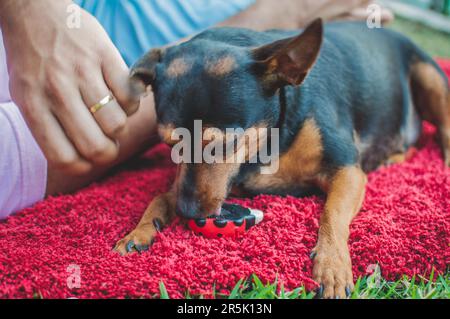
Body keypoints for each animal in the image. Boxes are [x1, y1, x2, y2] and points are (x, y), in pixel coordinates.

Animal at [115, 19, 450, 300]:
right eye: (169, 145)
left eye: (223, 144)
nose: (186, 212)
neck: (270, 142)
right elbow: (161, 196)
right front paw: (139, 230)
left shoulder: (347, 170)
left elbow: (332, 213)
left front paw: (332, 264)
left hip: (430, 77)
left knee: (442, 129)